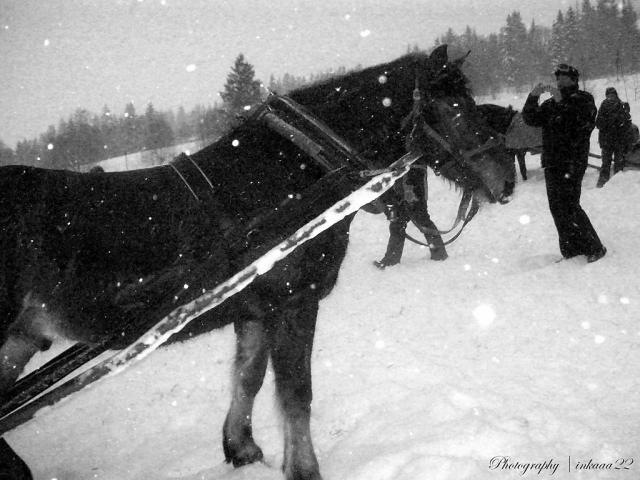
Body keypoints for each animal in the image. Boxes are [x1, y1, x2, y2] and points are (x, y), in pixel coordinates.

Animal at [0, 46, 510, 480]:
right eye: (456, 107)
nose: (504, 179)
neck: (293, 177)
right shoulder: (294, 302)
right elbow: (296, 392)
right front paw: (304, 469)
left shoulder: (255, 309)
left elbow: (249, 377)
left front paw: (240, 448)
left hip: (20, 341)